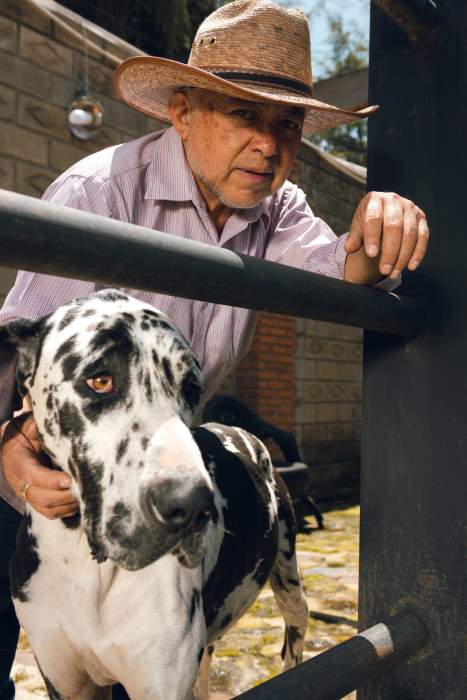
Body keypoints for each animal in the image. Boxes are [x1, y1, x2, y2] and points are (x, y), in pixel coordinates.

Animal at [0, 292, 310, 700]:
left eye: (191, 389)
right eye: (100, 380)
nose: (192, 505)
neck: (90, 568)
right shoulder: (66, 681)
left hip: (288, 578)